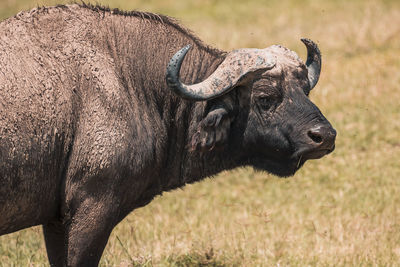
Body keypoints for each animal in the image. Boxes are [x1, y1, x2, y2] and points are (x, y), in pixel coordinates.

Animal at [0, 3, 336, 266]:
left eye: (304, 89)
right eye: (265, 97)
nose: (325, 136)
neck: (132, 81)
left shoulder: (56, 220)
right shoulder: (91, 208)